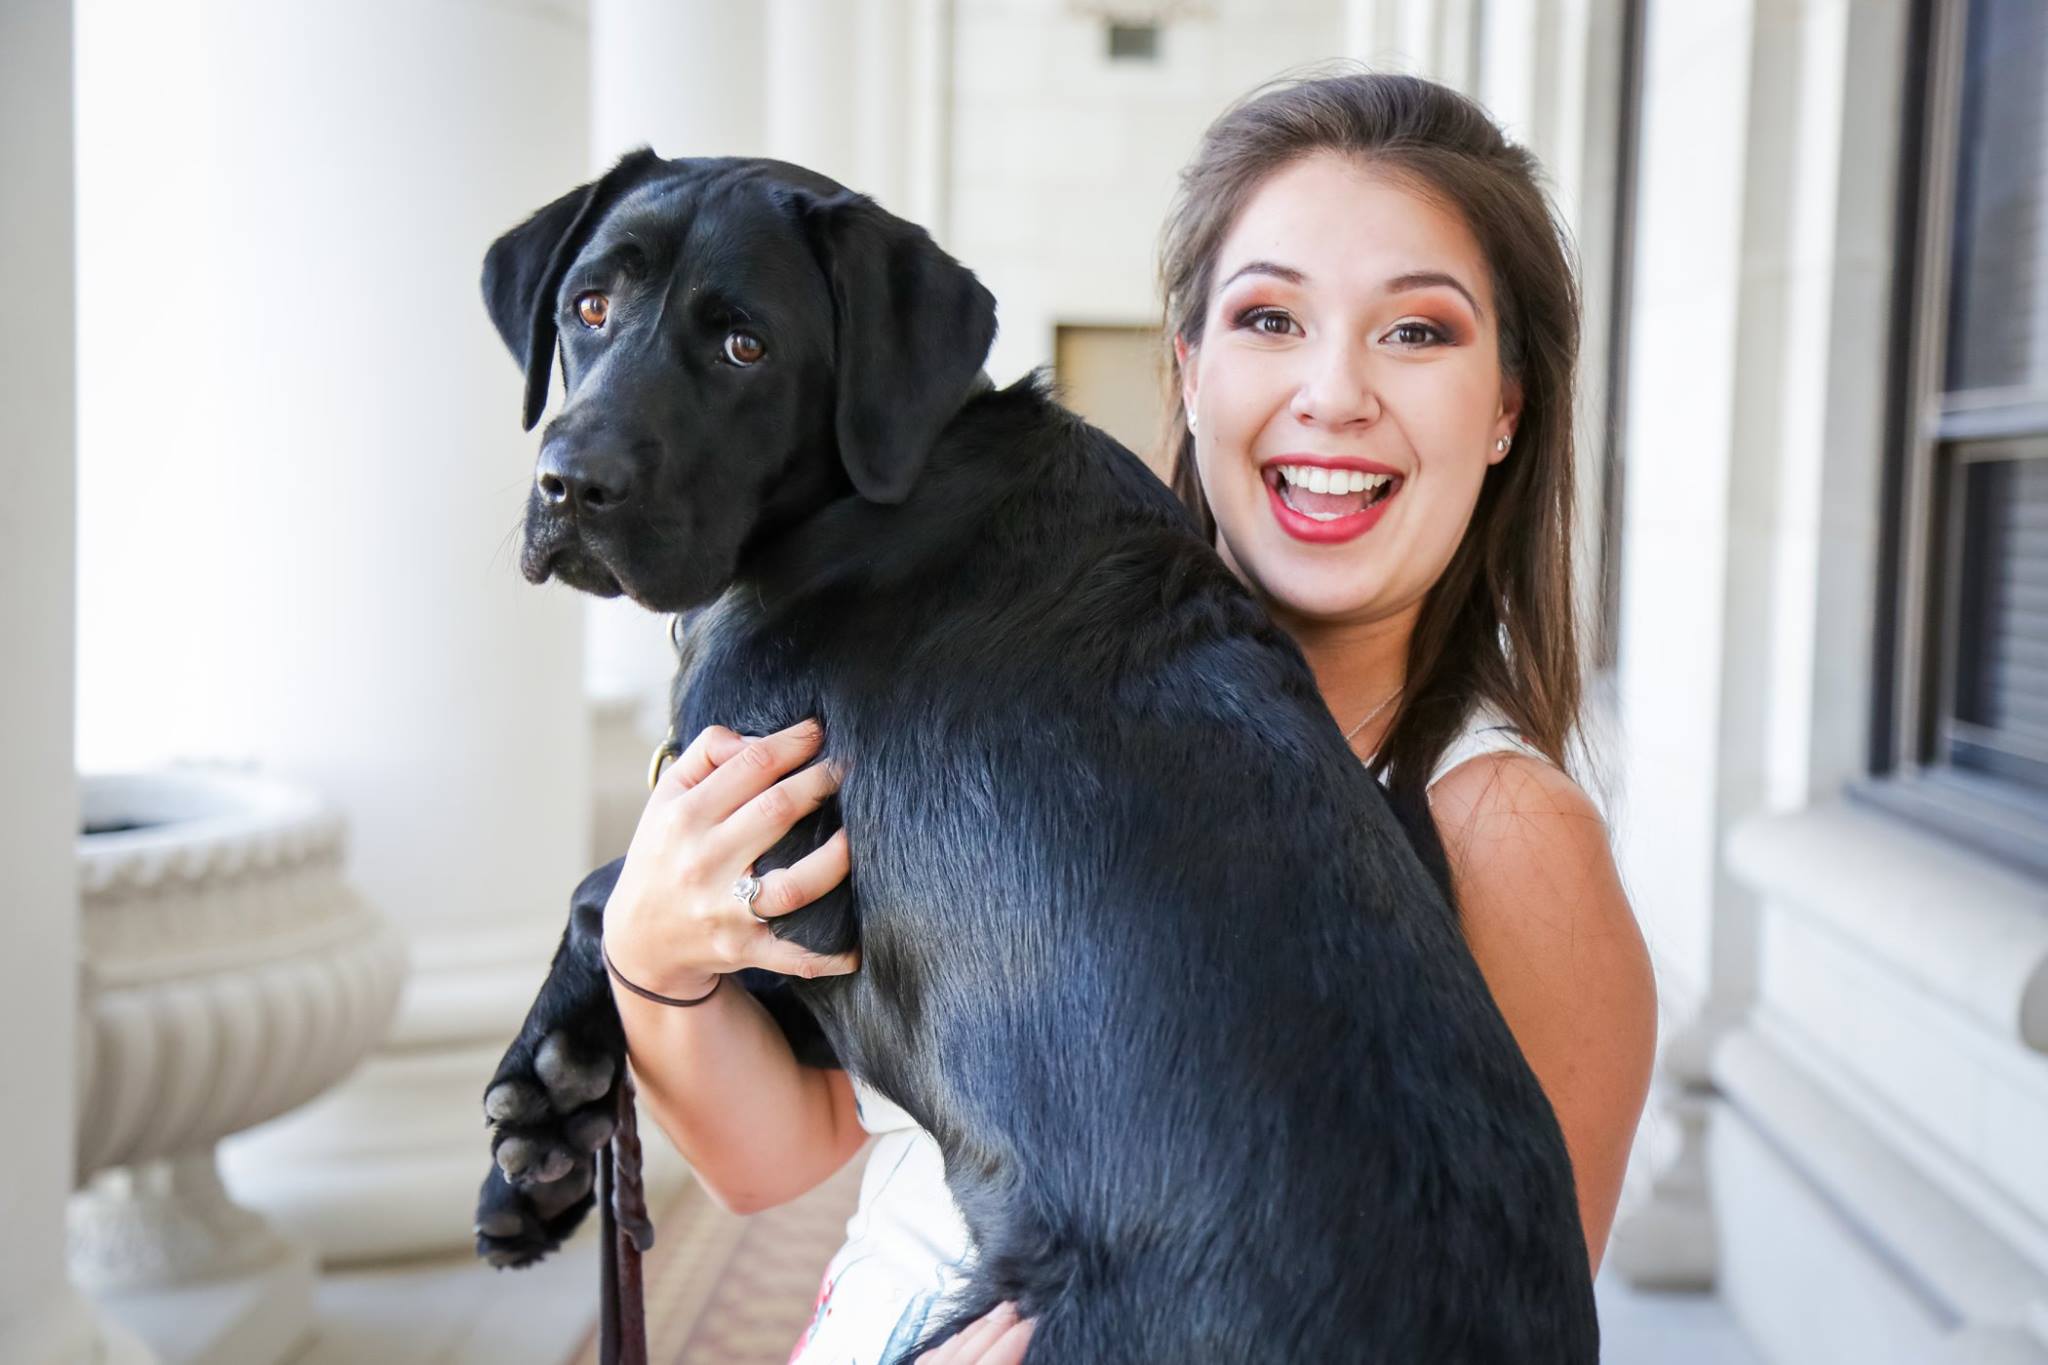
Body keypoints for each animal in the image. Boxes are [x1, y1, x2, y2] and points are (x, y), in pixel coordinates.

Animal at [468, 152, 1597, 1365]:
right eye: (589, 308)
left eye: (745, 347)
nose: (571, 483)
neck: (865, 497)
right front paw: (543, 1141)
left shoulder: (795, 903)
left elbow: (605, 885)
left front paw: (544, 1081)